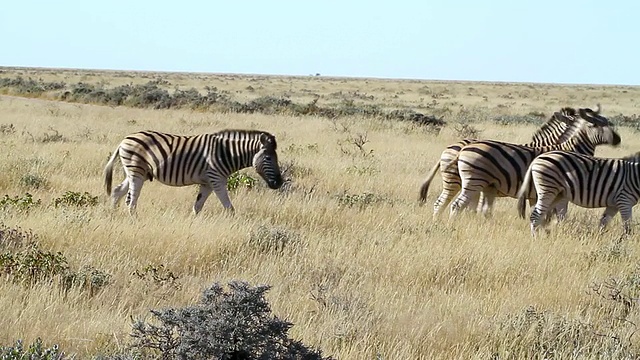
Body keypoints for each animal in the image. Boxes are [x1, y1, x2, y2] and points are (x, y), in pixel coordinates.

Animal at [102, 129, 282, 215]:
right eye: (268, 158)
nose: (279, 183)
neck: (227, 153)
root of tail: (124, 139)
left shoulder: (207, 183)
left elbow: (197, 207)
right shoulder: (217, 179)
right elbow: (229, 208)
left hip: (138, 172)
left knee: (118, 191)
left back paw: (113, 215)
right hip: (136, 171)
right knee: (132, 201)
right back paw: (134, 221)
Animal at [444, 105, 620, 217]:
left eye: (608, 122)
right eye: (595, 125)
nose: (618, 139)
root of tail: (458, 147)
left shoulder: (535, 193)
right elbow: (557, 214)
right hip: (470, 181)